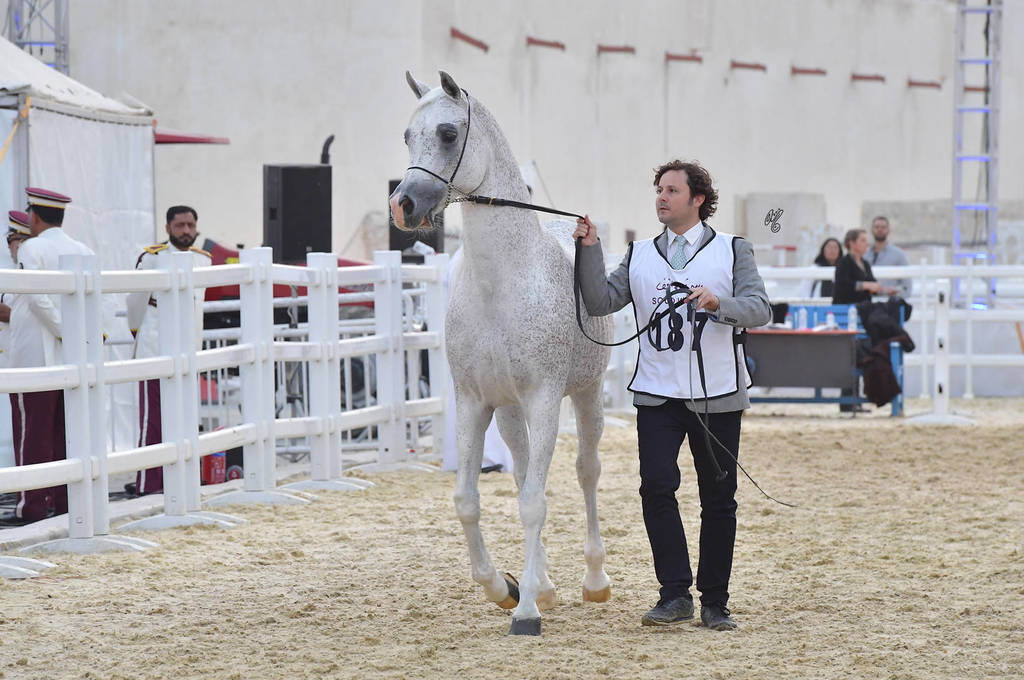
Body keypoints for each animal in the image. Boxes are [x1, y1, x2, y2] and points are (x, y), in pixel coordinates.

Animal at [390, 71, 613, 636]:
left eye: (448, 133)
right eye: (408, 135)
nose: (402, 205)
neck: (501, 283)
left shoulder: (545, 399)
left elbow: (536, 502)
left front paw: (527, 610)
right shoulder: (475, 401)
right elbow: (468, 501)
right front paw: (503, 588)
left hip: (586, 395)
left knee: (586, 471)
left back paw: (592, 581)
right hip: (510, 411)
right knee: (521, 468)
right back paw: (547, 584)